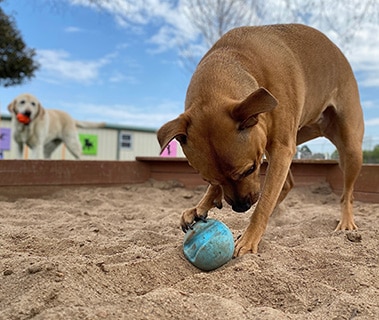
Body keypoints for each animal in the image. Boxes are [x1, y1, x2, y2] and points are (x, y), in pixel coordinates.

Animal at [157, 23, 366, 256]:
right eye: (208, 179)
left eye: (250, 169)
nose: (240, 208)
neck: (236, 58)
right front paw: (201, 205)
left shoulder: (282, 149)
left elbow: (264, 202)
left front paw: (249, 239)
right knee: (287, 184)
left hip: (350, 150)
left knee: (346, 193)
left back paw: (346, 221)